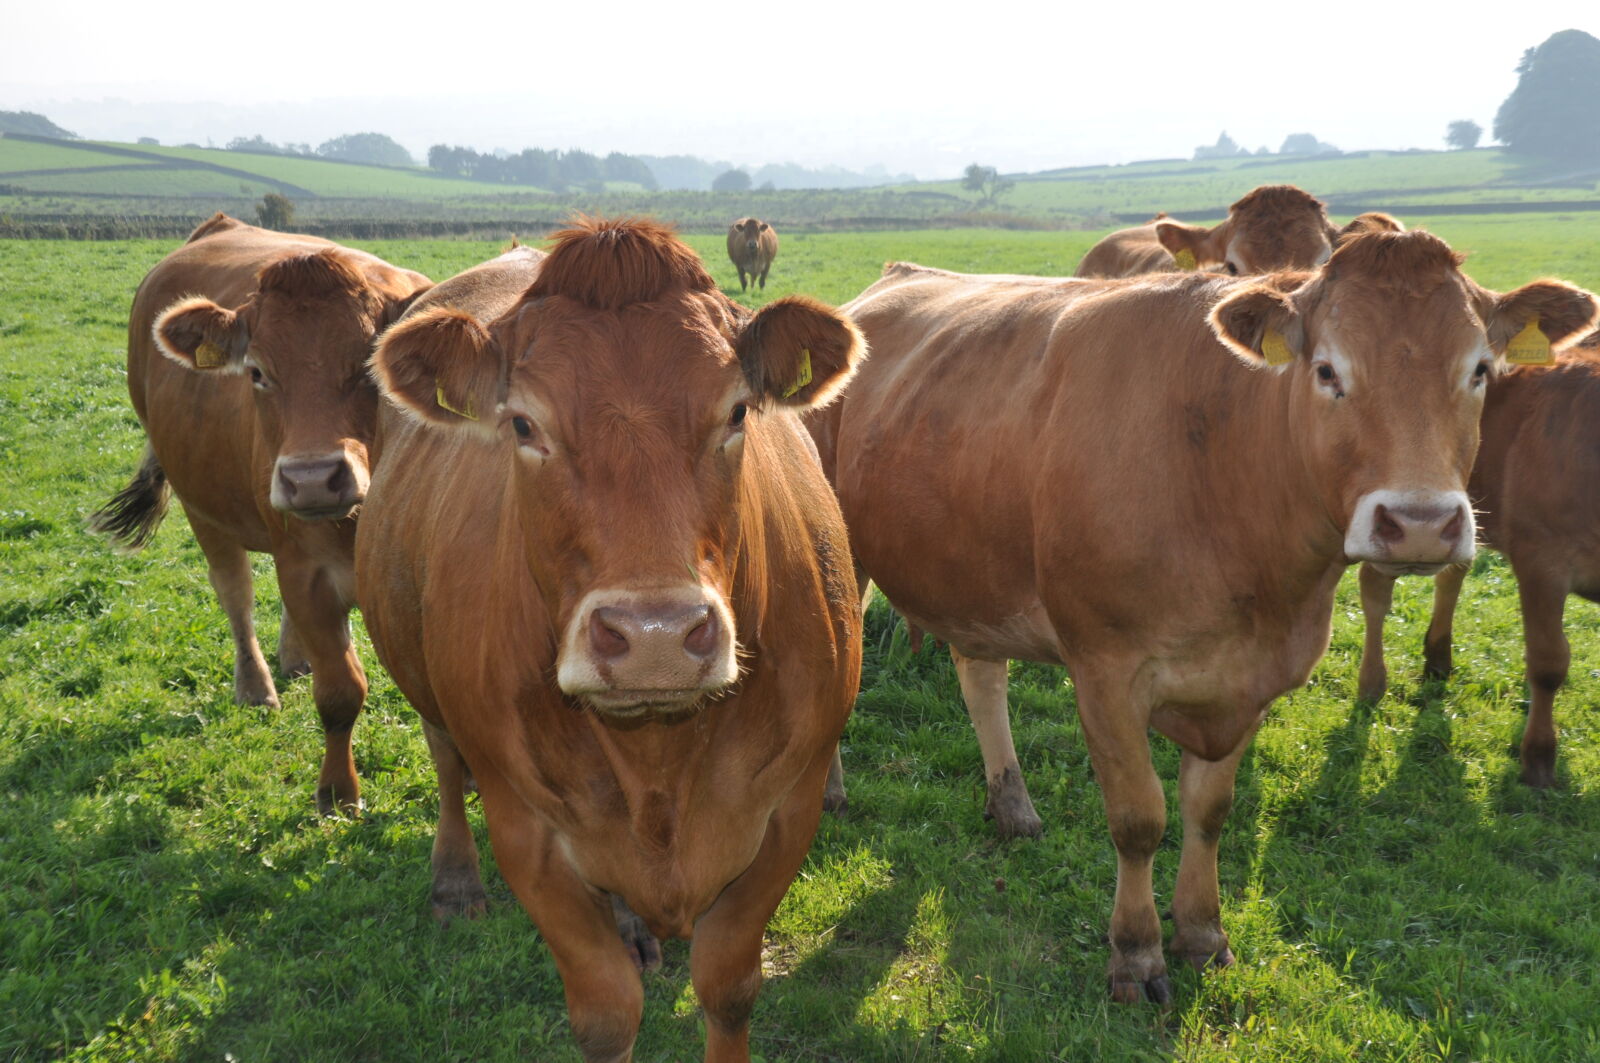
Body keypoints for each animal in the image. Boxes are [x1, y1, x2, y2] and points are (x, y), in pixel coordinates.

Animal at [89, 212, 433, 815]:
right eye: (256, 373)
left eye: (369, 369)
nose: (312, 477)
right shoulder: (307, 571)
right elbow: (341, 691)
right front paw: (337, 792)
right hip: (202, 506)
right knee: (236, 592)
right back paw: (256, 685)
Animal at [356, 217, 865, 1061]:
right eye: (523, 424)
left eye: (737, 413)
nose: (655, 635)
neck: (660, 755)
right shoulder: (524, 831)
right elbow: (604, 1010)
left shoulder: (791, 808)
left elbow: (729, 984)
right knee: (444, 757)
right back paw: (456, 880)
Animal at [1357, 346, 1600, 787]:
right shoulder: (1541, 558)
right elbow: (1549, 662)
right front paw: (1538, 760)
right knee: (1375, 588)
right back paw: (1371, 682)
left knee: (1453, 573)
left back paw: (1438, 657)